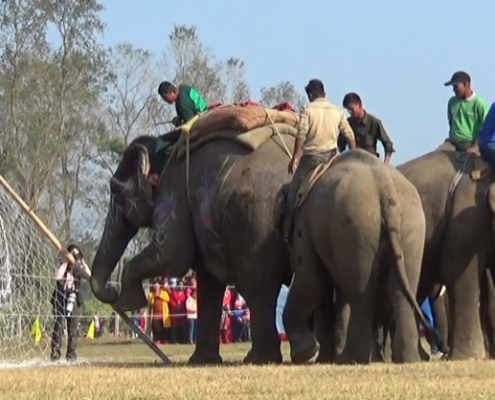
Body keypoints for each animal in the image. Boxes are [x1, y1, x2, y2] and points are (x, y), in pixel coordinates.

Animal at [89, 132, 299, 364]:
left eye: (115, 191)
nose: (111, 290)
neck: (166, 149)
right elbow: (208, 282)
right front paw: (202, 360)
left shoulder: (173, 194)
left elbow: (172, 255)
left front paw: (126, 303)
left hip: (255, 225)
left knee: (258, 287)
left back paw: (259, 358)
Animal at [283, 149, 431, 364]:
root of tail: (385, 188)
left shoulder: (304, 221)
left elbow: (312, 281)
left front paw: (305, 353)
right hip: (411, 225)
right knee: (401, 290)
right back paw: (407, 359)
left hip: (357, 225)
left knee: (361, 294)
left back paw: (350, 359)